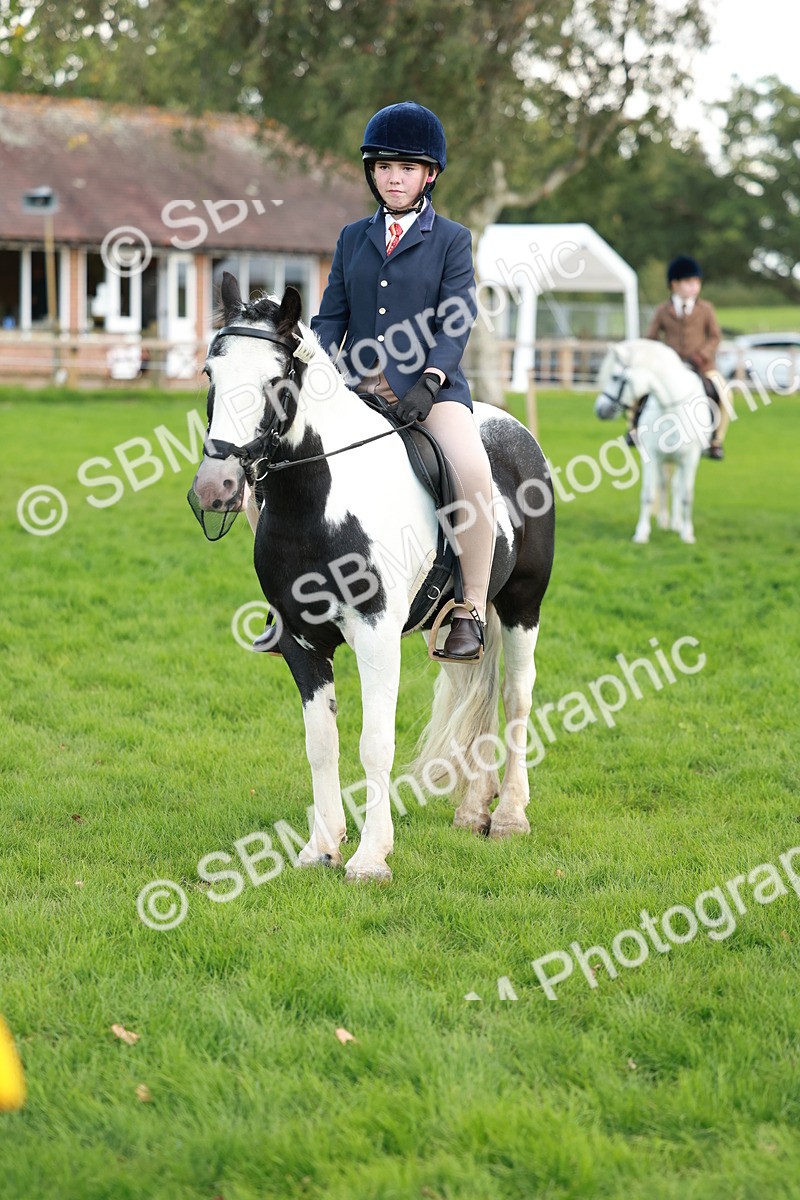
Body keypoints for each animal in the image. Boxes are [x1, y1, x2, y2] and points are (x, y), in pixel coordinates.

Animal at [189, 273, 555, 881]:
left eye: (275, 381)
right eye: (210, 374)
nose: (215, 486)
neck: (319, 501)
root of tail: (513, 427)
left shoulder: (378, 636)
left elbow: (375, 744)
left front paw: (370, 856)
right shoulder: (302, 642)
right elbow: (321, 744)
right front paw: (321, 847)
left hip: (524, 603)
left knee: (516, 698)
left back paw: (509, 816)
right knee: (478, 688)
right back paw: (473, 811)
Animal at [594, 339, 717, 545]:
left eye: (615, 377)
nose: (600, 410)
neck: (671, 410)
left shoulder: (690, 459)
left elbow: (686, 496)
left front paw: (687, 534)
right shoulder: (651, 456)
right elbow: (648, 494)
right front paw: (642, 533)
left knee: (676, 487)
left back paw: (677, 524)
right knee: (664, 484)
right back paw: (664, 521)